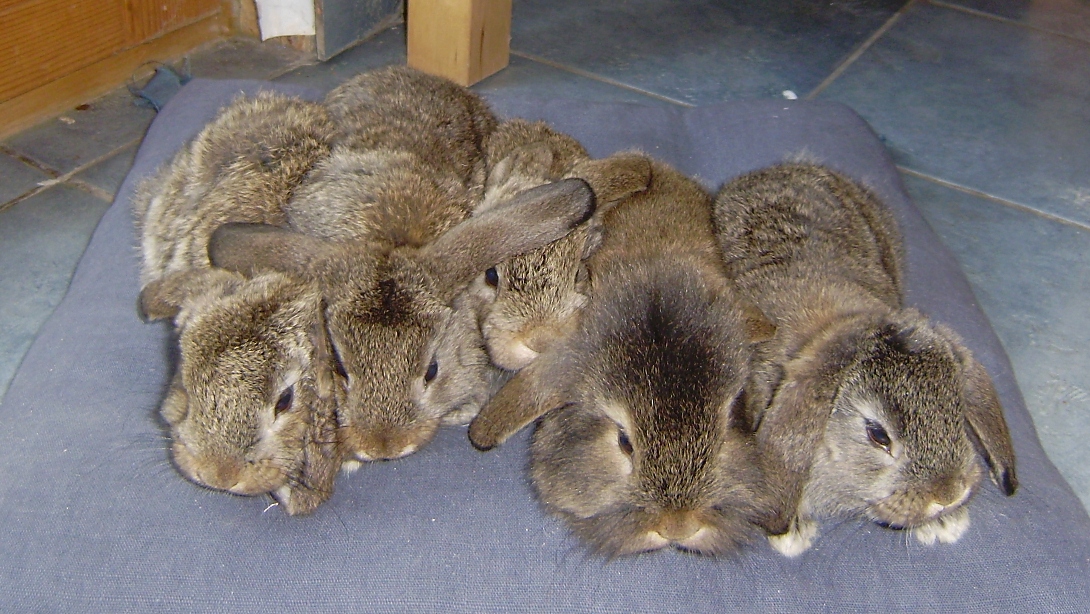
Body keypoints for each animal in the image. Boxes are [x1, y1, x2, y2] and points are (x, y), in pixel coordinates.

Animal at [712, 161, 1017, 556]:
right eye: (877, 435)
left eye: (957, 412)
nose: (948, 495)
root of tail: (779, 169)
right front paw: (792, 531)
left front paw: (944, 524)